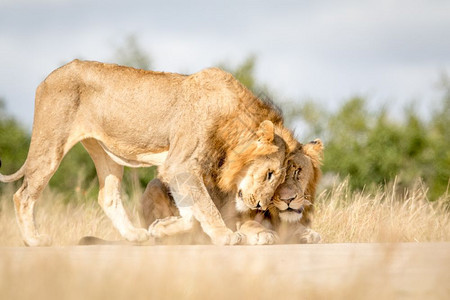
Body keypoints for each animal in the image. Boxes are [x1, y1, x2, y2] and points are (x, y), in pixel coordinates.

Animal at [0, 60, 298, 246]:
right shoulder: (180, 164)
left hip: (104, 153)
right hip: (50, 143)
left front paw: (161, 227)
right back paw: (34, 240)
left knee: (107, 196)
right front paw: (225, 235)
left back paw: (135, 235)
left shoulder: (180, 170)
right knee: (22, 195)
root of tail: (48, 77)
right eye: (269, 174)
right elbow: (205, 206)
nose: (260, 207)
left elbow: (192, 214)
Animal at [140, 139, 324, 245]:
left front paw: (307, 233)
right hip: (155, 184)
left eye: (297, 171)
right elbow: (249, 223)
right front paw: (263, 233)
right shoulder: (230, 217)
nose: (288, 199)